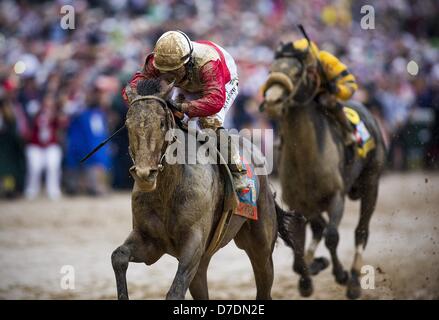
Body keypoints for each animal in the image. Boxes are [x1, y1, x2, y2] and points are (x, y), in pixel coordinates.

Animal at [262, 43, 384, 300]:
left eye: (297, 72)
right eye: (271, 70)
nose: (273, 101)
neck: (307, 159)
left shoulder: (336, 197)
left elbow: (332, 236)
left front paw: (341, 274)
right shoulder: (298, 204)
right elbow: (300, 244)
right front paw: (307, 277)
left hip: (371, 182)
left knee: (360, 231)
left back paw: (354, 280)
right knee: (318, 228)